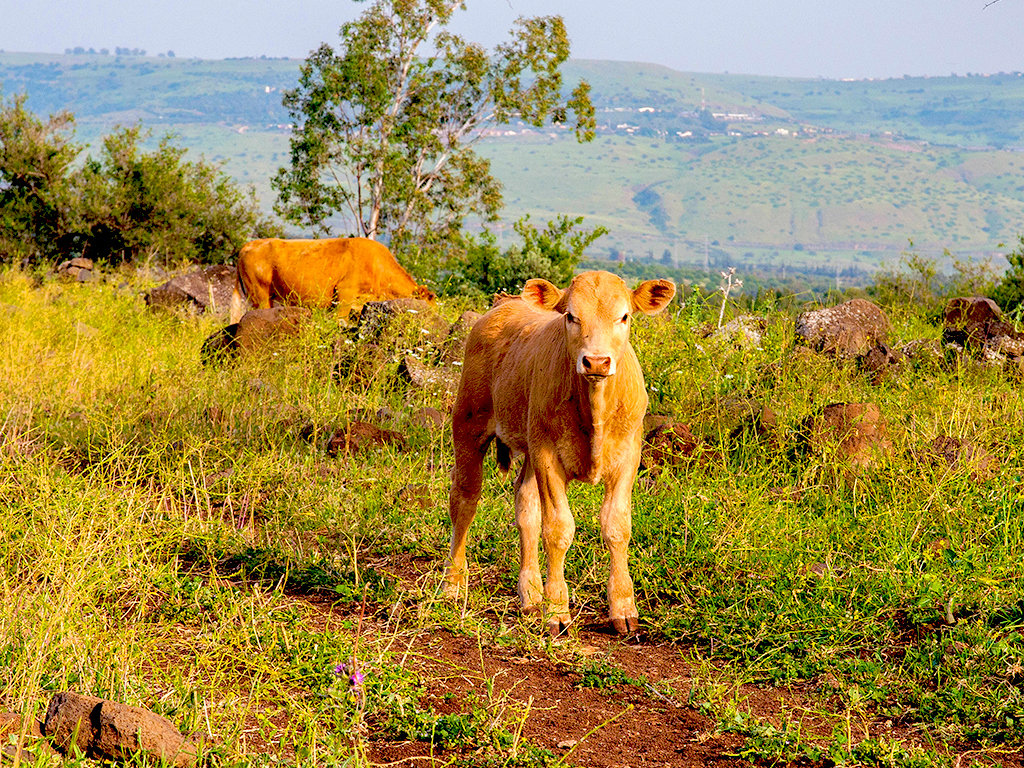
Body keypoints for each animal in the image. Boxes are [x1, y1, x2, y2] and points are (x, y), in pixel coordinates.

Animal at [444, 274, 675, 634]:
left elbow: (617, 526)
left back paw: (530, 596)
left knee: (525, 505)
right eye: (570, 316)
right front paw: (556, 611)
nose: (597, 361)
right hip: (469, 423)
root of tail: (505, 303)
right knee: (465, 500)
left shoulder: (628, 456)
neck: (594, 410)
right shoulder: (548, 456)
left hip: (527, 441)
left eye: (624, 317)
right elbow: (558, 529)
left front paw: (623, 608)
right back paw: (454, 585)